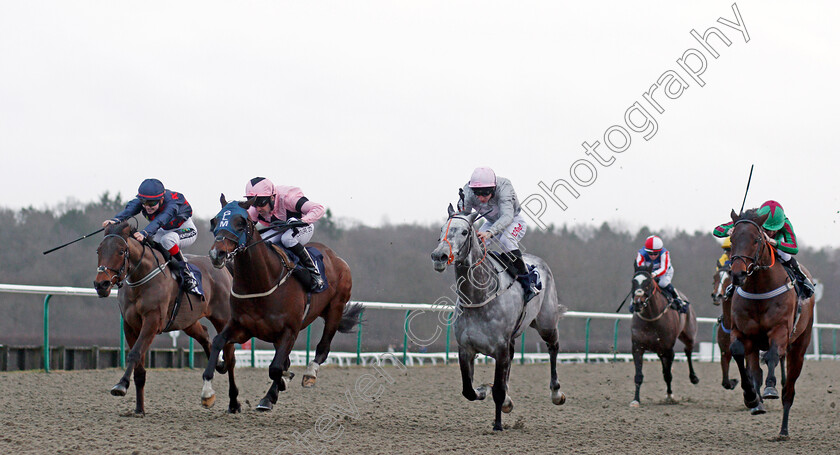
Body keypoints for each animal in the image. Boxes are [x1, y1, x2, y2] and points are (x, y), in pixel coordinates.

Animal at [93, 223, 235, 416]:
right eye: (99, 250)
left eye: (121, 251)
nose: (101, 284)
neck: (141, 278)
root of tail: (222, 268)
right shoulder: (130, 326)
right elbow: (139, 368)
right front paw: (139, 409)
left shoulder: (152, 321)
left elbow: (134, 353)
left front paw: (121, 385)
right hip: (188, 321)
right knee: (205, 336)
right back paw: (219, 366)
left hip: (223, 317)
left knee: (230, 356)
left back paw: (234, 403)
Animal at [203, 196, 360, 414]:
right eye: (215, 221)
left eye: (241, 222)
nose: (217, 254)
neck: (261, 282)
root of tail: (335, 256)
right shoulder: (241, 327)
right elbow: (218, 342)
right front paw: (208, 392)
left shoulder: (289, 331)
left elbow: (276, 368)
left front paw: (282, 383)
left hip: (335, 309)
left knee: (323, 347)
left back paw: (308, 374)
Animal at [430, 208, 568, 432]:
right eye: (442, 229)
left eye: (465, 232)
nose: (439, 256)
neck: (479, 297)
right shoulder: (465, 348)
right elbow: (469, 390)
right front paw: (484, 390)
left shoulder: (500, 348)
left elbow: (498, 390)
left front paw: (497, 424)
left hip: (546, 323)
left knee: (553, 347)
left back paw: (556, 393)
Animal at [628, 266, 700, 408]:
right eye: (633, 281)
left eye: (648, 282)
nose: (638, 303)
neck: (651, 318)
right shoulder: (637, 347)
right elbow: (638, 375)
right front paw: (635, 400)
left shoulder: (668, 349)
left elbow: (668, 374)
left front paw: (670, 396)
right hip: (660, 350)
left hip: (688, 335)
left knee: (688, 351)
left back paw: (693, 377)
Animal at [728, 208, 812, 440]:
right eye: (732, 238)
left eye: (756, 239)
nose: (737, 274)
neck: (759, 288)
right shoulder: (742, 332)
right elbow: (738, 353)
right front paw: (750, 397)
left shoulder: (780, 330)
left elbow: (773, 355)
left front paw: (771, 388)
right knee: (755, 371)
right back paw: (757, 404)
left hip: (799, 345)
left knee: (789, 389)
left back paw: (783, 430)